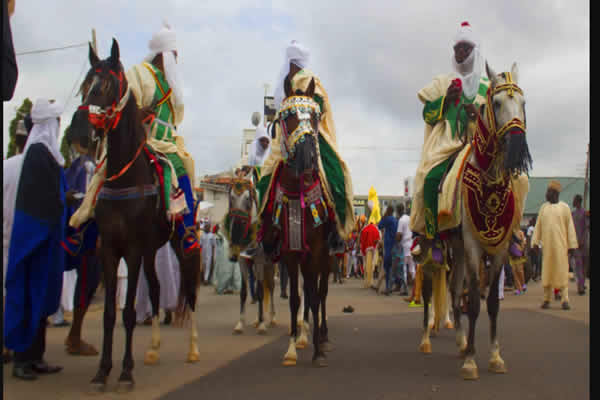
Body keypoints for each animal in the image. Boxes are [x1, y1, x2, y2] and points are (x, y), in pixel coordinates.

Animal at [78, 39, 202, 390]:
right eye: (86, 85)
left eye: (107, 85)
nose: (85, 132)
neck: (125, 177)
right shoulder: (109, 248)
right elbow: (110, 314)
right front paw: (103, 371)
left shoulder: (131, 249)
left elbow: (129, 312)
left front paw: (125, 372)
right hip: (150, 250)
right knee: (158, 289)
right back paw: (154, 349)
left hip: (180, 246)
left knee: (190, 292)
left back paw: (192, 349)